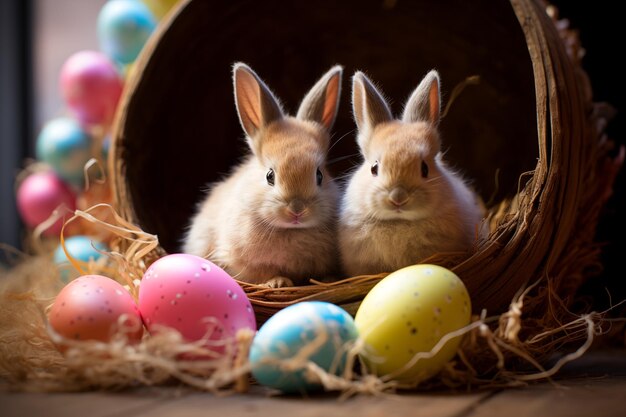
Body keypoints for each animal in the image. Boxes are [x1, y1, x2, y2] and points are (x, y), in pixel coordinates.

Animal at [183, 63, 342, 288]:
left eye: (319, 175)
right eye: (269, 176)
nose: (297, 210)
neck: (291, 230)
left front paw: (329, 280)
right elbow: (262, 273)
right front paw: (278, 282)